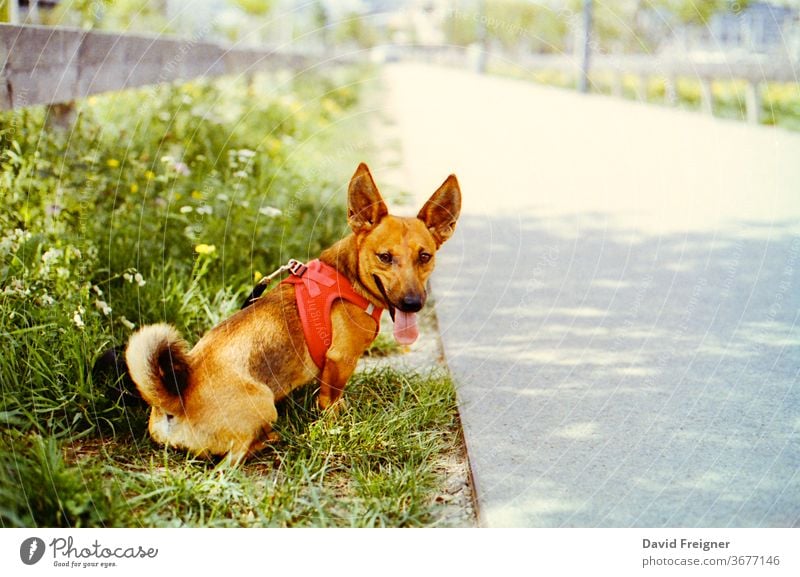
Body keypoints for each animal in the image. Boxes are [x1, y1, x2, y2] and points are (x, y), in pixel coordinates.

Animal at [125, 161, 462, 460]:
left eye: (425, 256)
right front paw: (335, 421)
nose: (412, 303)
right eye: (384, 257)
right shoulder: (340, 361)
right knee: (232, 459)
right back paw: (270, 439)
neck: (347, 277)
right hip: (263, 403)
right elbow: (330, 399)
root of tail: (175, 400)